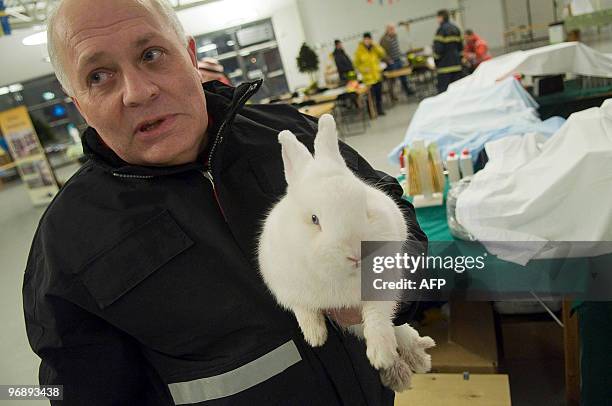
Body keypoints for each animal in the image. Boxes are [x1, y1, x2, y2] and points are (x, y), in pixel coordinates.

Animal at [258, 113, 436, 390]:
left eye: (366, 209)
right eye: (314, 219)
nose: (356, 253)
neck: (341, 276)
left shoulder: (382, 286)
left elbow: (377, 316)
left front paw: (380, 353)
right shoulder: (285, 284)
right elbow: (303, 308)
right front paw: (315, 335)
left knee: (404, 333)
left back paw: (418, 357)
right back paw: (399, 374)